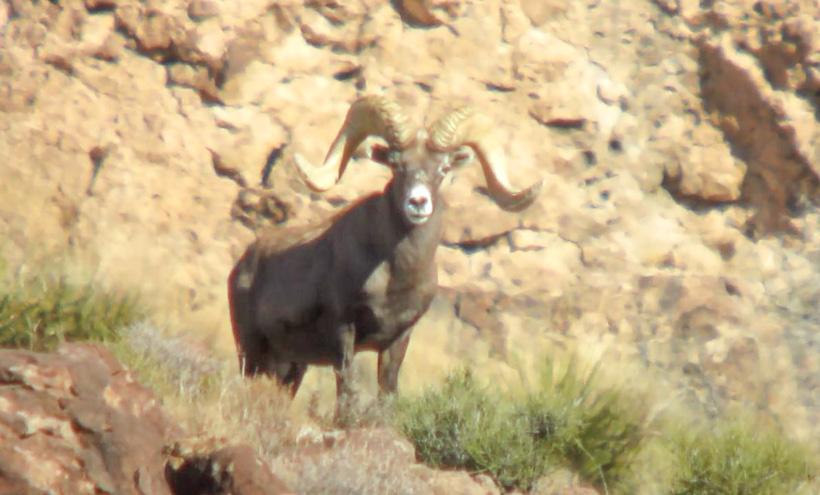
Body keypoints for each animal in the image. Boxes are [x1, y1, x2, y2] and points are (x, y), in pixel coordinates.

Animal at [227, 95, 542, 417]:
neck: (393, 277)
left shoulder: (398, 338)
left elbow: (387, 391)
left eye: (442, 169)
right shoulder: (343, 331)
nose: (418, 202)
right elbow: (347, 389)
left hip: (291, 367)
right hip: (252, 353)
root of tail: (243, 266)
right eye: (396, 164)